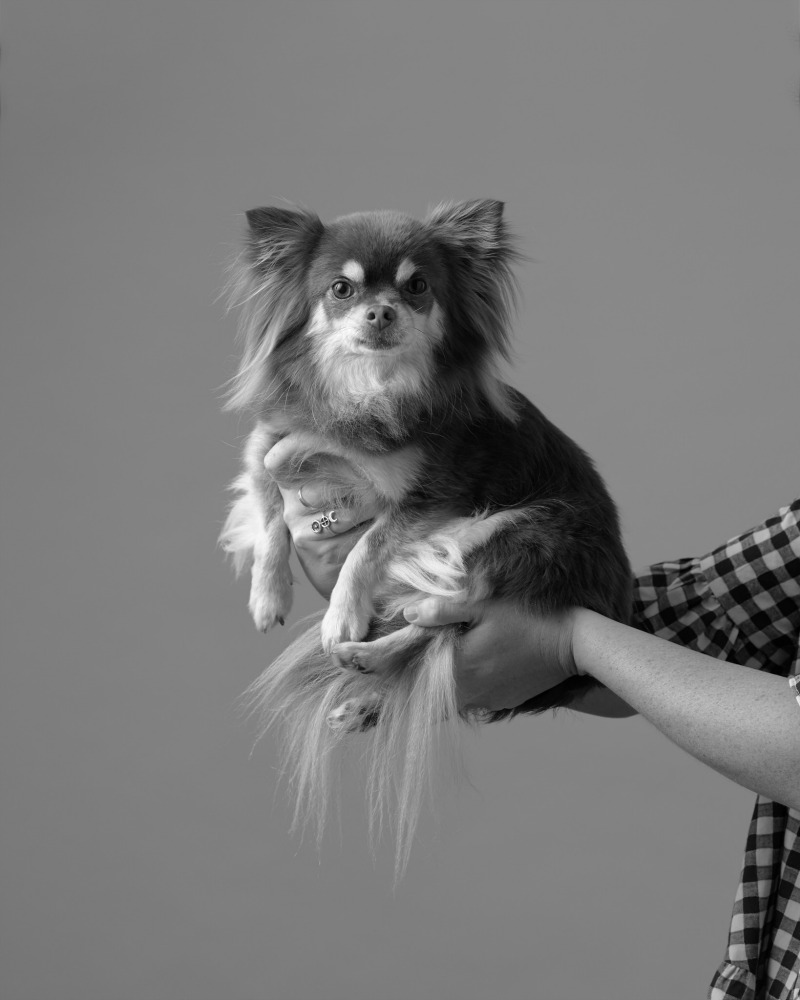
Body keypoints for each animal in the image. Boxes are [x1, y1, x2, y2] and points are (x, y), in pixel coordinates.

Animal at [219, 201, 632, 876]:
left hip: (514, 533)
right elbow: (266, 499)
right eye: (342, 290)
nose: (381, 311)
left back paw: (368, 656)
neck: (369, 389)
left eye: (417, 287)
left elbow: (364, 549)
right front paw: (267, 595)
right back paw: (366, 697)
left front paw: (340, 614)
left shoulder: (430, 497)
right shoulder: (274, 440)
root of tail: (613, 595)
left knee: (443, 616)